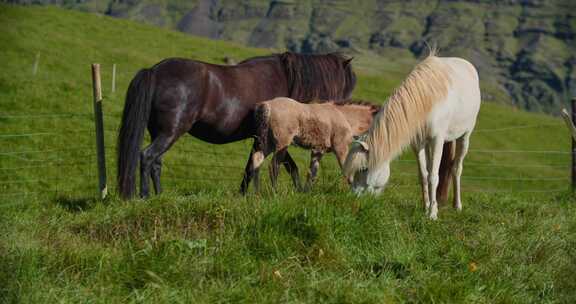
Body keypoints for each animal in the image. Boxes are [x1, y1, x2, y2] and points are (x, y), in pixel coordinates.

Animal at [118, 52, 358, 200]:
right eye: (346, 87)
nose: (343, 117)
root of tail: (155, 71)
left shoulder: (262, 140)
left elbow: (259, 167)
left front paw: (243, 195)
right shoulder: (268, 139)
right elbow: (267, 166)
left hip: (161, 133)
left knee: (156, 162)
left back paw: (159, 196)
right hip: (170, 132)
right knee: (147, 157)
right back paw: (144, 197)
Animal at [241, 97, 380, 192]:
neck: (345, 117)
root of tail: (267, 106)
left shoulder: (318, 150)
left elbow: (312, 172)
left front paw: (305, 193)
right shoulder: (341, 147)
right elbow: (347, 170)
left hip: (267, 142)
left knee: (257, 161)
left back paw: (257, 194)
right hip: (281, 143)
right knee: (273, 166)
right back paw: (274, 193)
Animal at [342, 51, 482, 220]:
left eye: (364, 169)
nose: (353, 197)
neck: (427, 102)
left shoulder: (437, 140)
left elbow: (434, 176)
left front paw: (432, 214)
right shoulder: (418, 143)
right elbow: (423, 175)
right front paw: (426, 207)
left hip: (464, 136)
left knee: (457, 168)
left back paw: (457, 205)